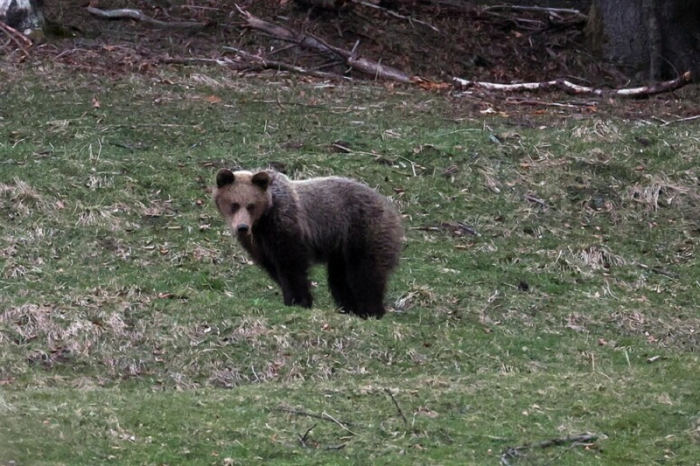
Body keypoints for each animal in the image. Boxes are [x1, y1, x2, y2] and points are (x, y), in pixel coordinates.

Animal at [213, 168, 402, 319]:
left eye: (251, 205)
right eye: (234, 204)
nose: (242, 228)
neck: (262, 222)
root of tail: (390, 206)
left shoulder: (286, 226)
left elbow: (292, 266)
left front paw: (299, 300)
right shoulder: (259, 245)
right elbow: (274, 268)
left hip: (363, 232)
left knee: (366, 273)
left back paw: (371, 310)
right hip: (340, 251)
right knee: (340, 280)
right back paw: (350, 308)